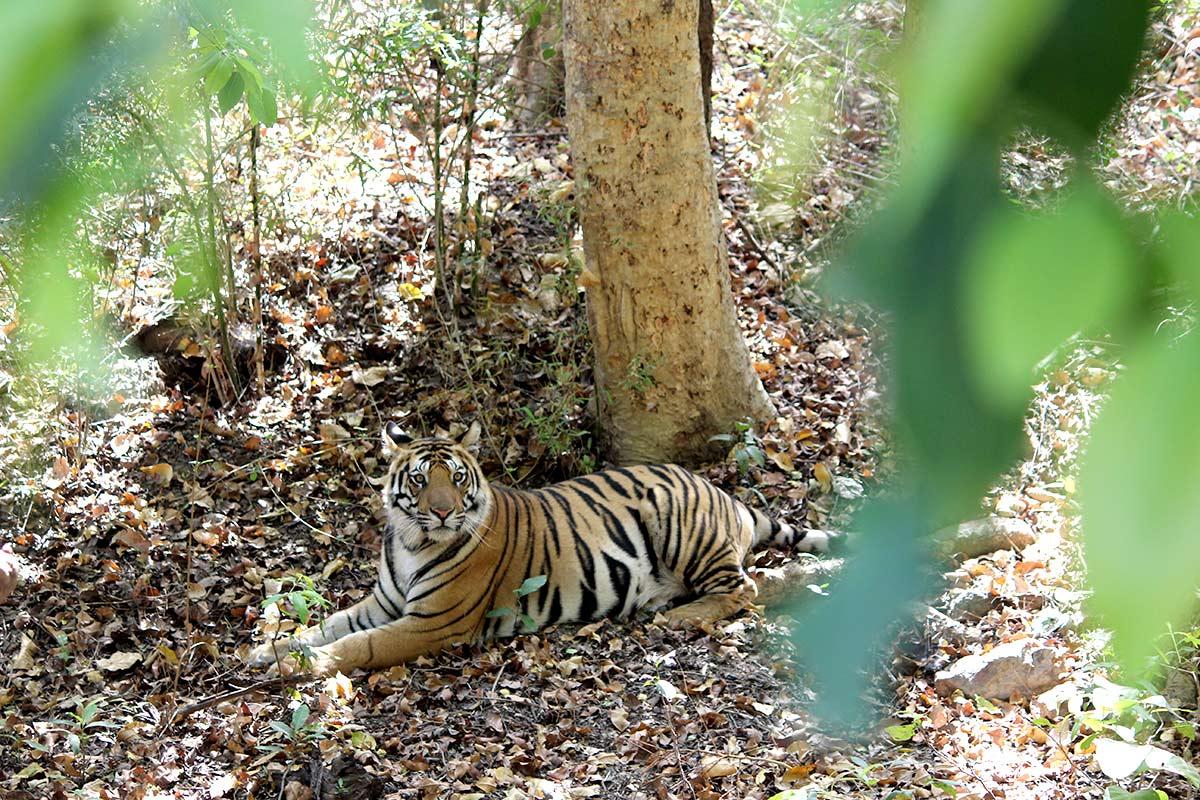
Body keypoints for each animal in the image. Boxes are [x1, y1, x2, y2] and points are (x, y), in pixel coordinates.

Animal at [247, 421, 832, 676]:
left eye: (456, 477)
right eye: (418, 480)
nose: (443, 512)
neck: (414, 541)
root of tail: (724, 493)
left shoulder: (431, 624)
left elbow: (359, 645)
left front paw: (303, 666)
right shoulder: (383, 603)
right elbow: (329, 624)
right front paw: (268, 650)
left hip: (678, 522)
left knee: (744, 587)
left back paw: (677, 617)